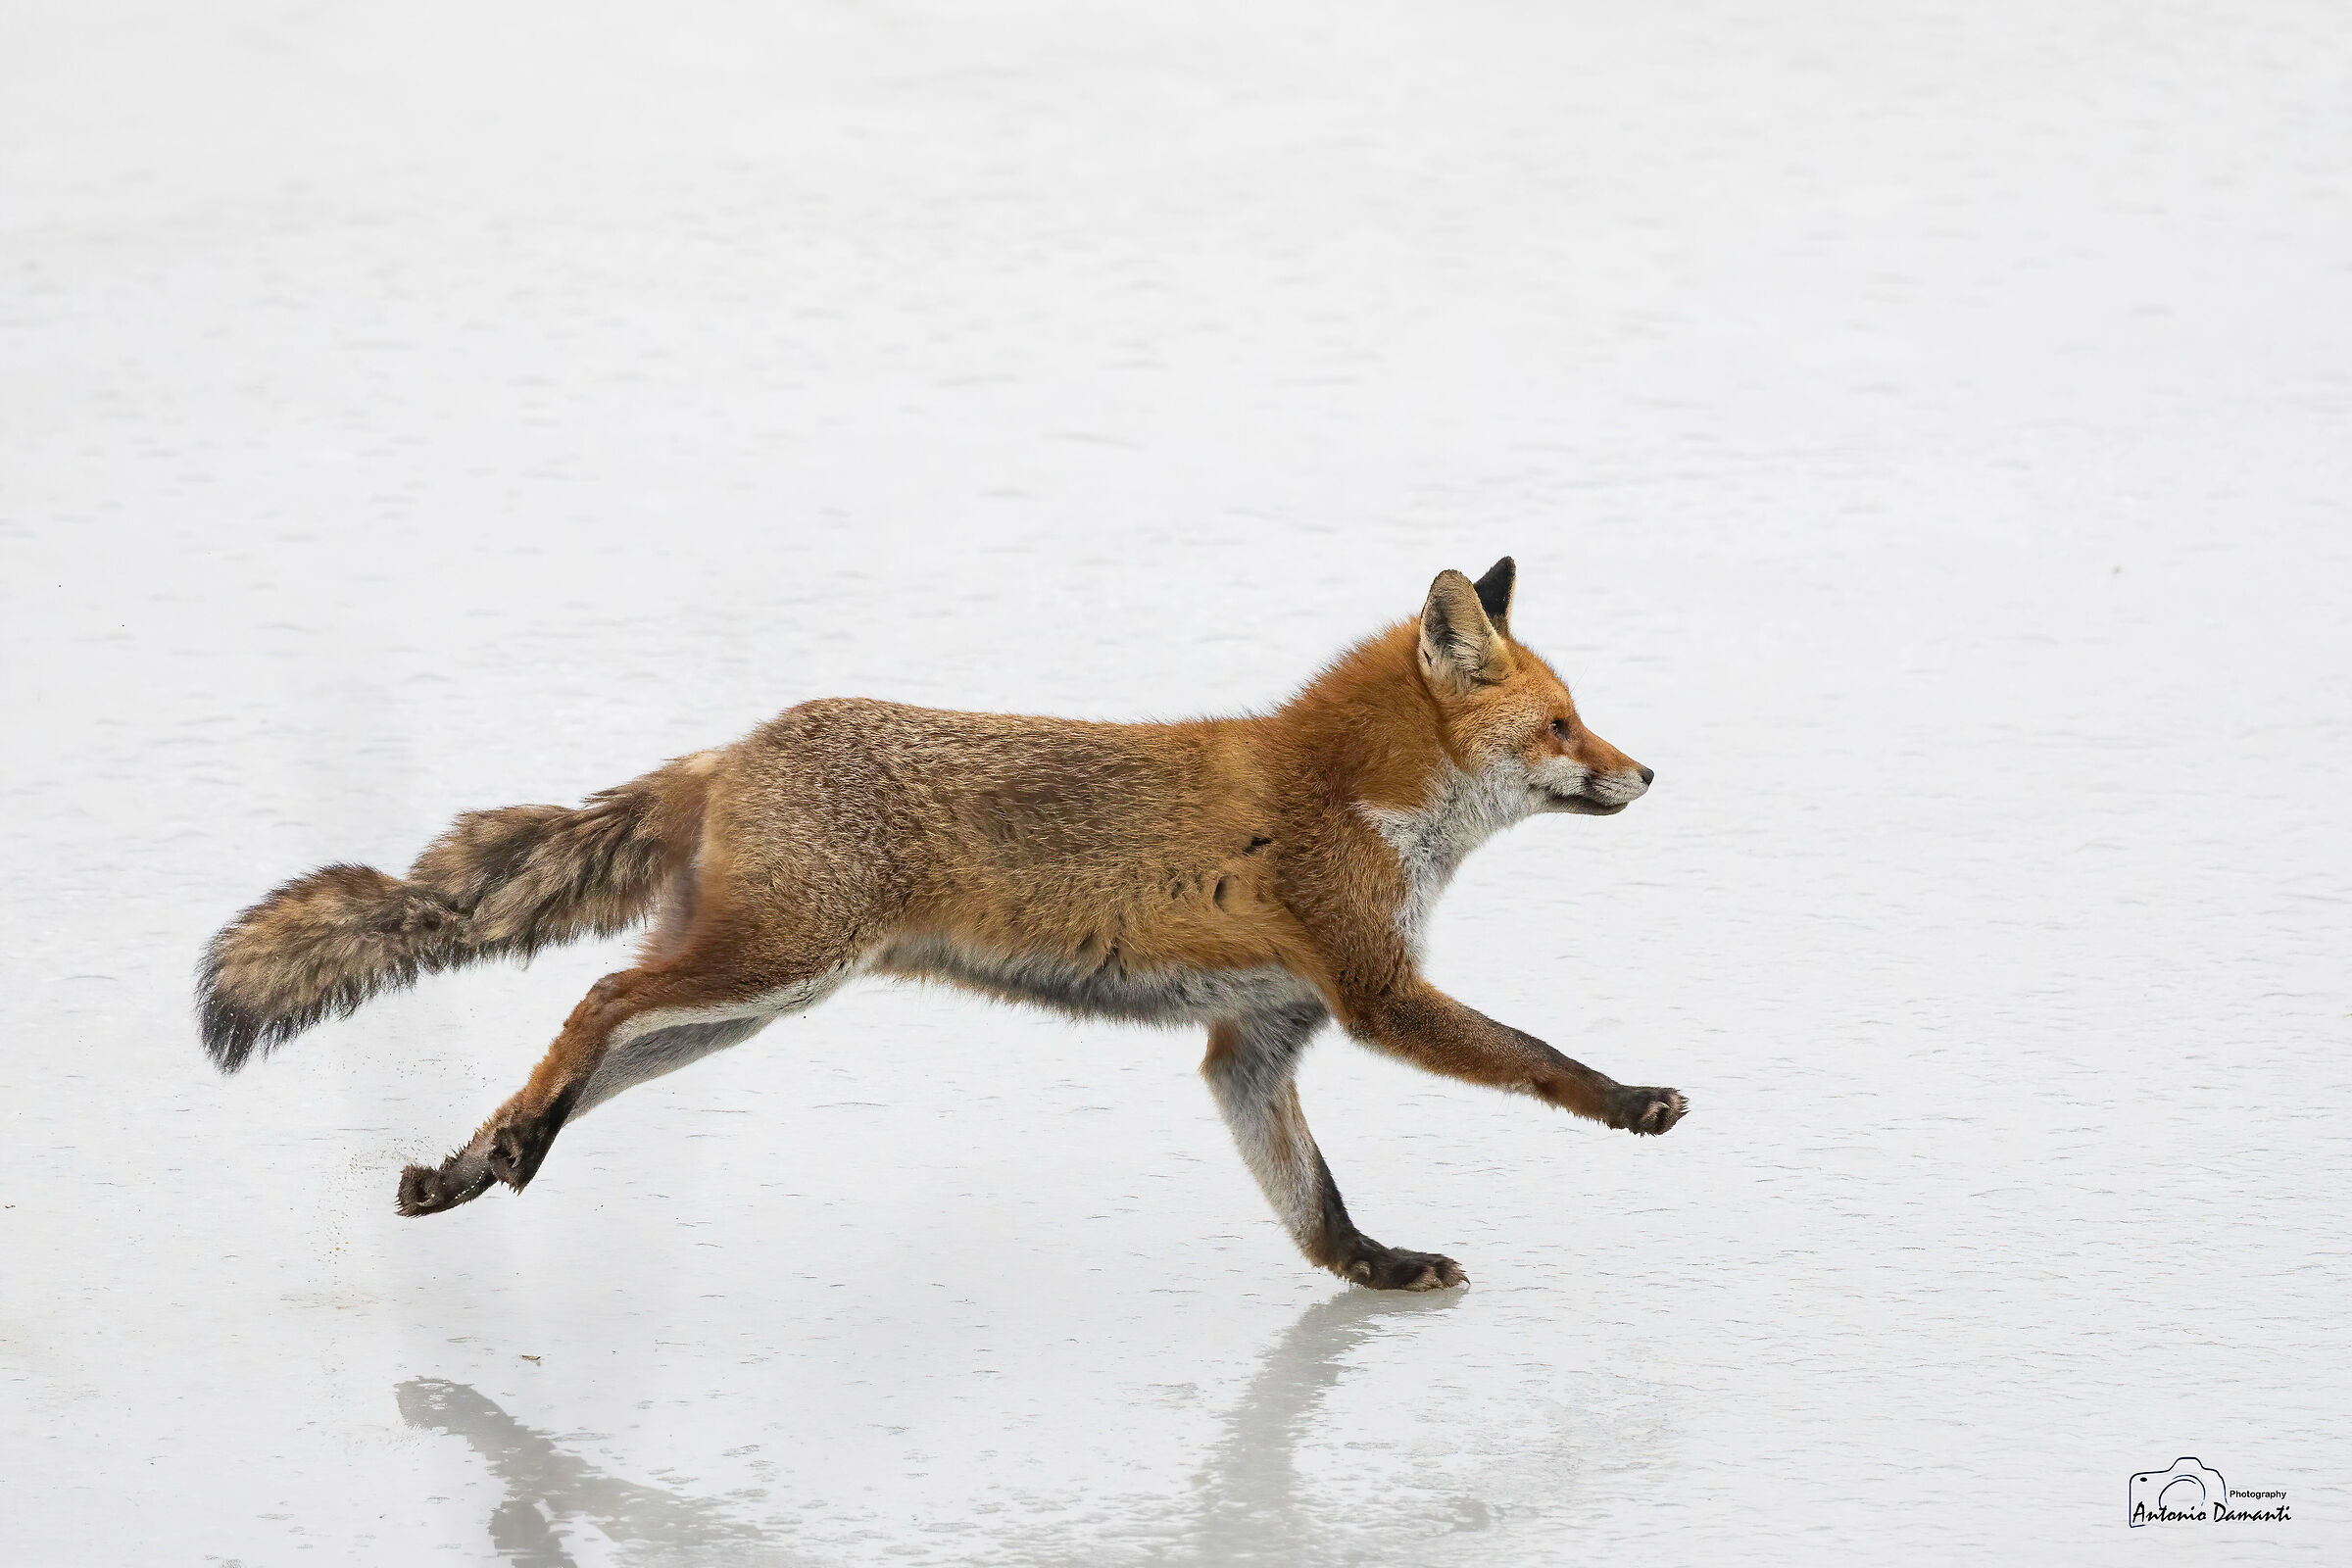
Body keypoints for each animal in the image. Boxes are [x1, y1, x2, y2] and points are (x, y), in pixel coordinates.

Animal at [198, 558, 1684, 1290]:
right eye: (1563, 725)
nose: (1649, 773)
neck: (1352, 788)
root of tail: (729, 750)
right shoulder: (1374, 993)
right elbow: (1539, 1058)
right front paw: (1632, 1104)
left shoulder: (1253, 1041)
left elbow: (1311, 1200)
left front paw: (1375, 1269)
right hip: (772, 964)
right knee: (595, 1002)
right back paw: (506, 1144)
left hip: (744, 1008)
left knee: (595, 1053)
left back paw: (477, 1161)